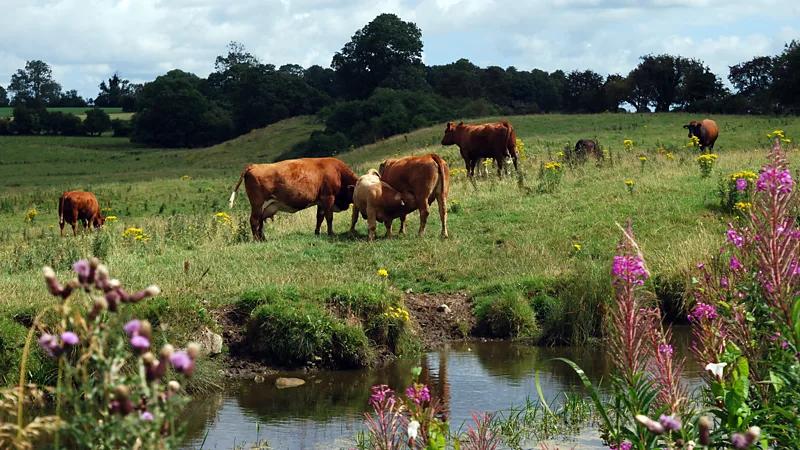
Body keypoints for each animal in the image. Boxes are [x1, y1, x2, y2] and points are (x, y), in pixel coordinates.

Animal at [230, 157, 358, 241]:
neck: (338, 172)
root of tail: (254, 165)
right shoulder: (328, 197)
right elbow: (329, 217)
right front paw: (331, 233)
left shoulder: (321, 201)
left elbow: (319, 218)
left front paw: (317, 233)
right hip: (257, 204)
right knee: (254, 220)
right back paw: (257, 240)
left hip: (263, 207)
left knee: (260, 222)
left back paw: (263, 239)